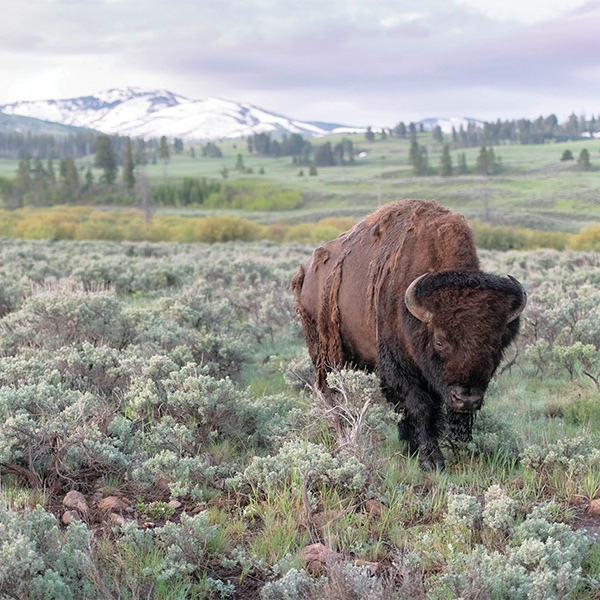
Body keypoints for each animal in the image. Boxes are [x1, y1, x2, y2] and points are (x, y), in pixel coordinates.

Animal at [290, 199, 524, 472]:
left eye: (497, 343)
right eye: (440, 340)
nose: (466, 399)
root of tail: (305, 274)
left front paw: (412, 449)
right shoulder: (397, 368)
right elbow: (420, 407)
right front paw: (431, 460)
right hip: (325, 353)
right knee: (332, 394)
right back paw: (343, 439)